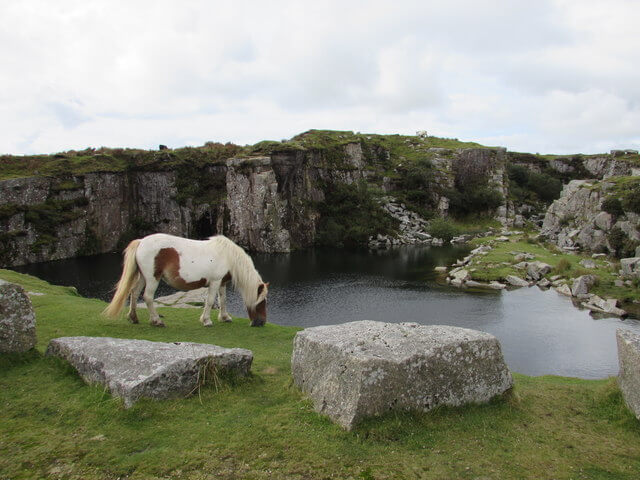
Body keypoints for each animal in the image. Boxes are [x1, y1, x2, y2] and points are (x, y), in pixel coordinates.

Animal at [102, 232, 268, 326]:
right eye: (261, 302)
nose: (261, 323)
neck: (228, 256)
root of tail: (141, 241)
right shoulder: (214, 282)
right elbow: (210, 301)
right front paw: (206, 320)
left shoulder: (221, 282)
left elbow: (223, 300)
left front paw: (225, 317)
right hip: (152, 278)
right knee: (148, 297)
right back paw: (156, 321)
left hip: (143, 277)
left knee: (134, 293)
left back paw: (133, 318)